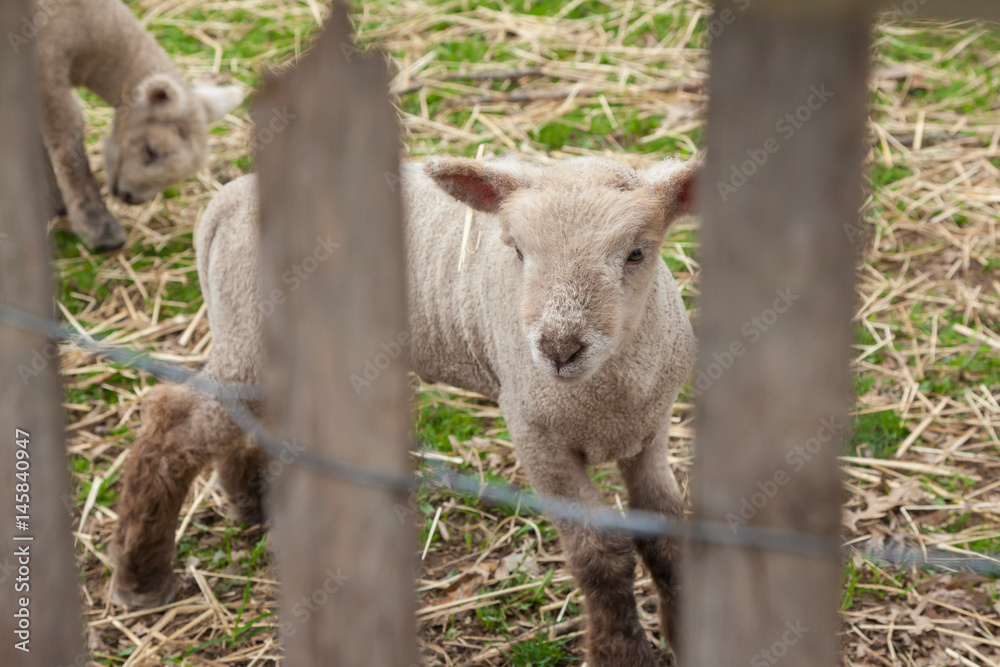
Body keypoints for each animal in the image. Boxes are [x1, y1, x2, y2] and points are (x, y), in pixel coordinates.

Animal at [31, 0, 243, 251]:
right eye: (151, 150)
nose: (129, 197)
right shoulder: (45, 66)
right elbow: (66, 137)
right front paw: (98, 226)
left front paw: (50, 200)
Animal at [111, 156, 700, 666]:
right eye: (517, 250)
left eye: (637, 253)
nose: (559, 348)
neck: (606, 397)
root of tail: (223, 203)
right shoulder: (537, 438)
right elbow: (599, 555)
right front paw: (622, 654)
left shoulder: (650, 431)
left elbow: (667, 534)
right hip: (248, 339)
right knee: (174, 420)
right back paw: (141, 576)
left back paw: (253, 505)